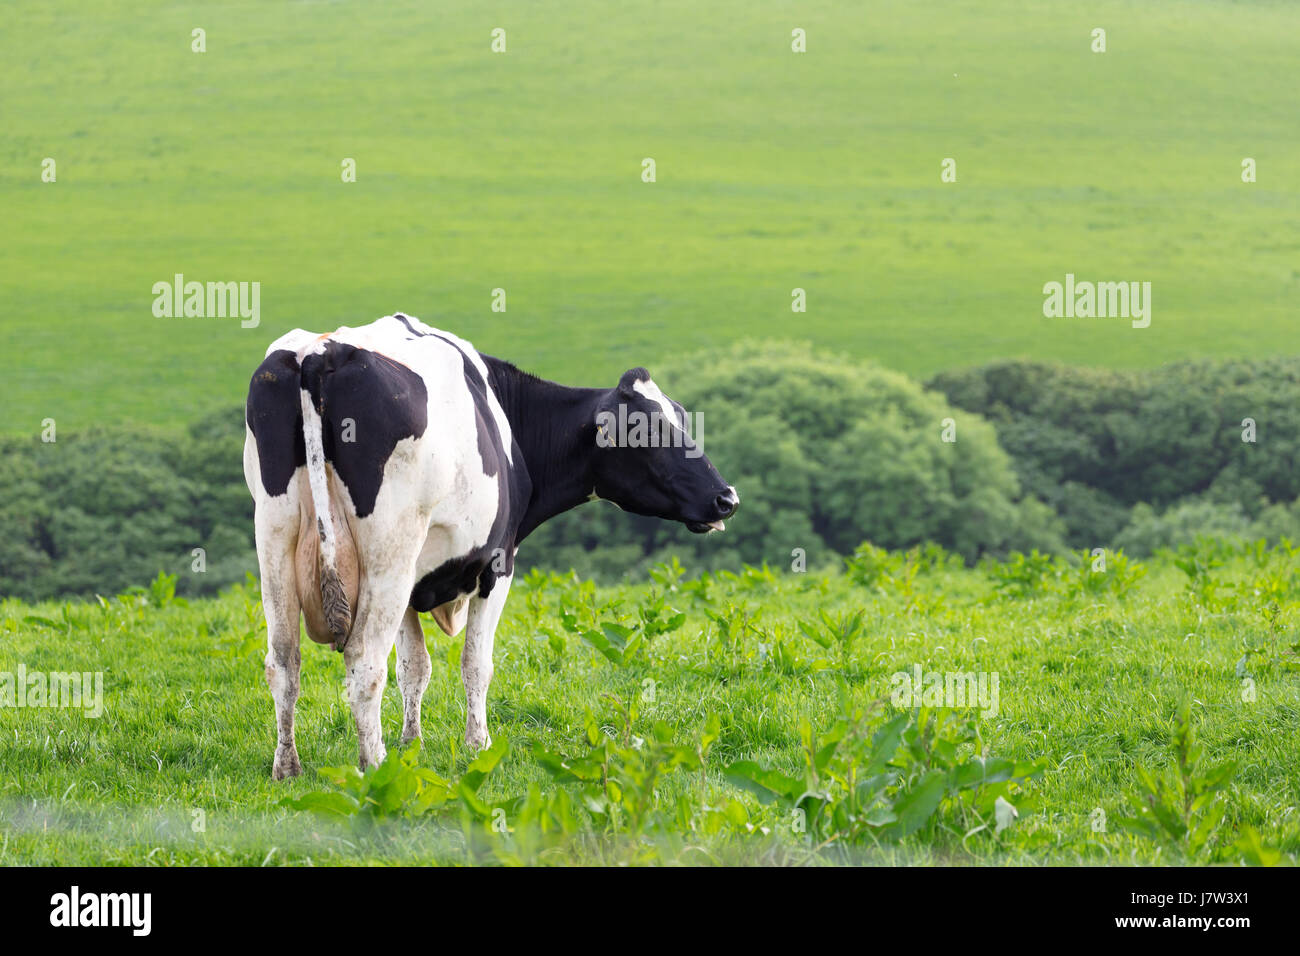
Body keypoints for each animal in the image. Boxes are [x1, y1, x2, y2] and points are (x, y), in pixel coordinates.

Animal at [243, 313, 738, 778]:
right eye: (644, 430)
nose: (727, 498)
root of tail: (322, 351)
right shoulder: (497, 566)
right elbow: (475, 664)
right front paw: (476, 745)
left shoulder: (415, 583)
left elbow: (414, 667)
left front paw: (412, 746)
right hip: (389, 553)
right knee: (364, 660)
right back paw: (374, 767)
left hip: (276, 540)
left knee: (283, 661)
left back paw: (287, 766)